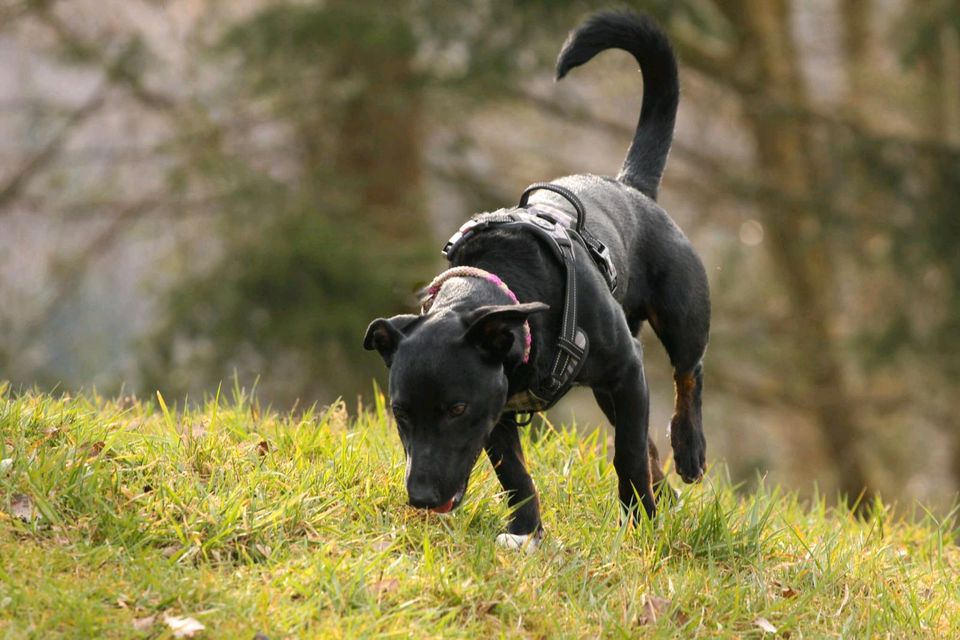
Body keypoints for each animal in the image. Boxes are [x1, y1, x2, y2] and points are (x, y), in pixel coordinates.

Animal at [364, 10, 708, 548]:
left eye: (456, 409)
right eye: (400, 413)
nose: (420, 496)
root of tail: (629, 185)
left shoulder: (626, 367)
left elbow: (627, 454)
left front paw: (639, 522)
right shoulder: (500, 403)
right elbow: (514, 472)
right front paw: (525, 532)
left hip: (680, 311)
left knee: (688, 372)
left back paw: (688, 452)